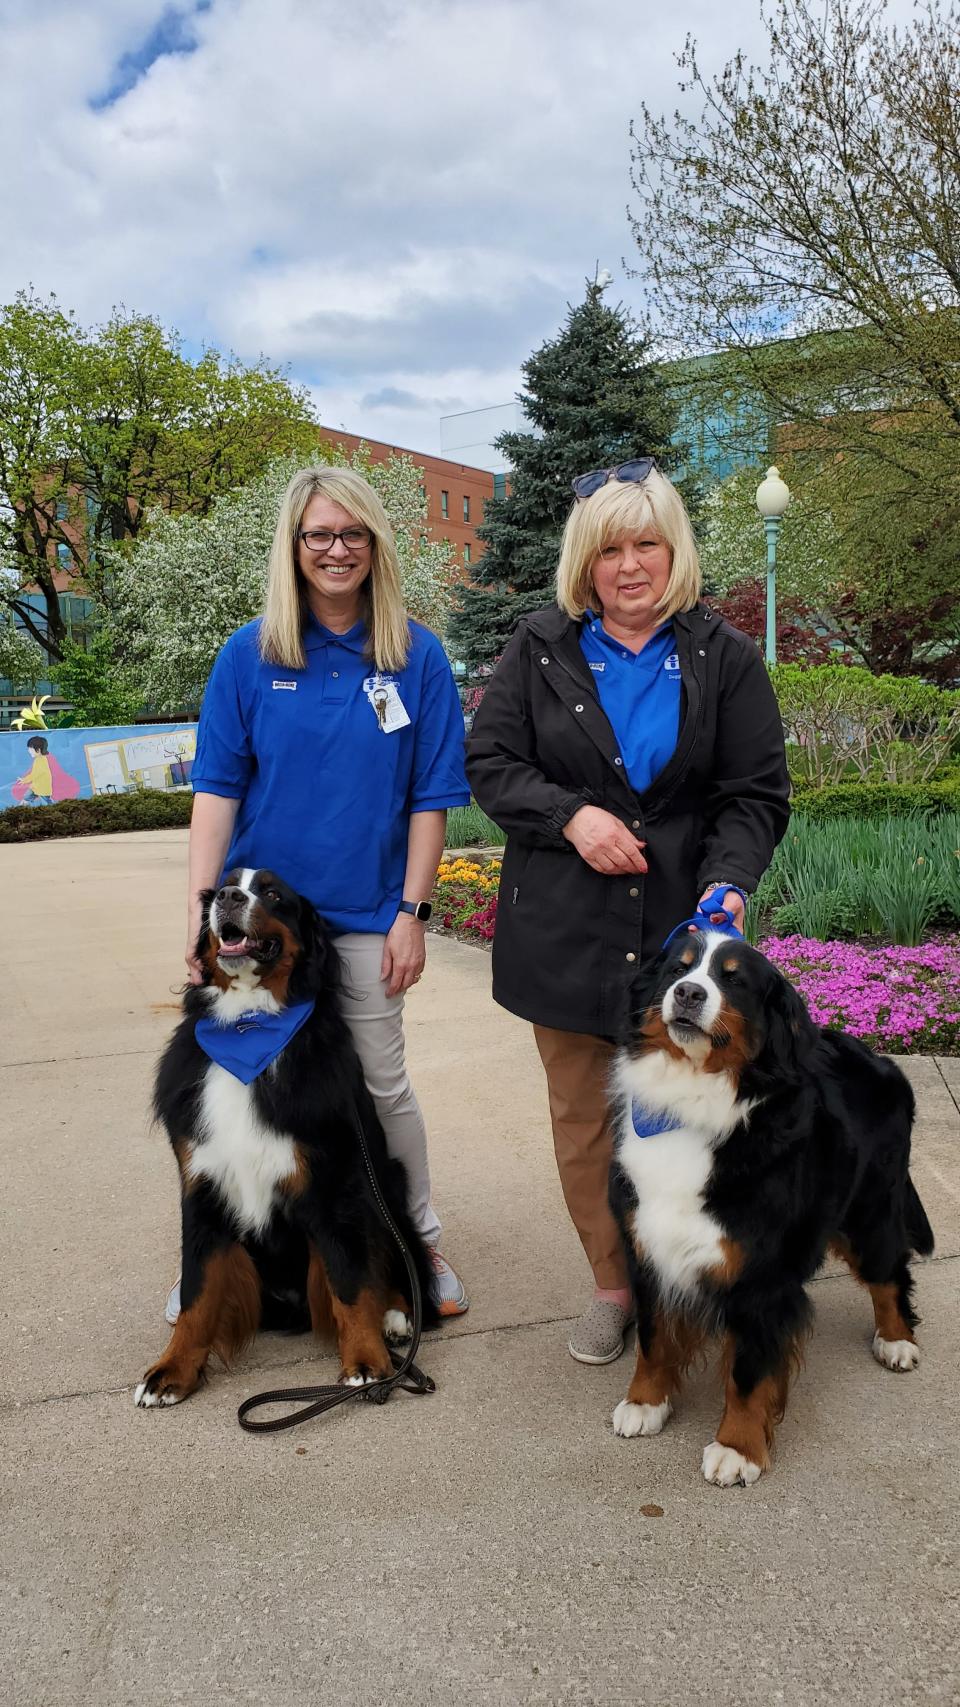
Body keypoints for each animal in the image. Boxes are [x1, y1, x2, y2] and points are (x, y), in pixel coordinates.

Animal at [133, 873, 433, 1406]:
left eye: (273, 895)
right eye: (225, 885)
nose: (230, 898)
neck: (248, 1025)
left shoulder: (334, 1184)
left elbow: (350, 1280)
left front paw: (367, 1363)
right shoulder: (203, 1184)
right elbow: (197, 1291)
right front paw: (172, 1370)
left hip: (385, 1185)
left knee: (398, 1263)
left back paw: (396, 1317)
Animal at [608, 928, 929, 1488]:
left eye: (734, 980)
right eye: (677, 969)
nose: (688, 994)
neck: (691, 1104)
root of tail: (880, 1058)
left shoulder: (761, 1276)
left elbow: (749, 1371)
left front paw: (737, 1448)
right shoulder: (647, 1246)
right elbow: (653, 1334)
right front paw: (646, 1402)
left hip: (869, 1213)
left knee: (890, 1272)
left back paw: (896, 1341)